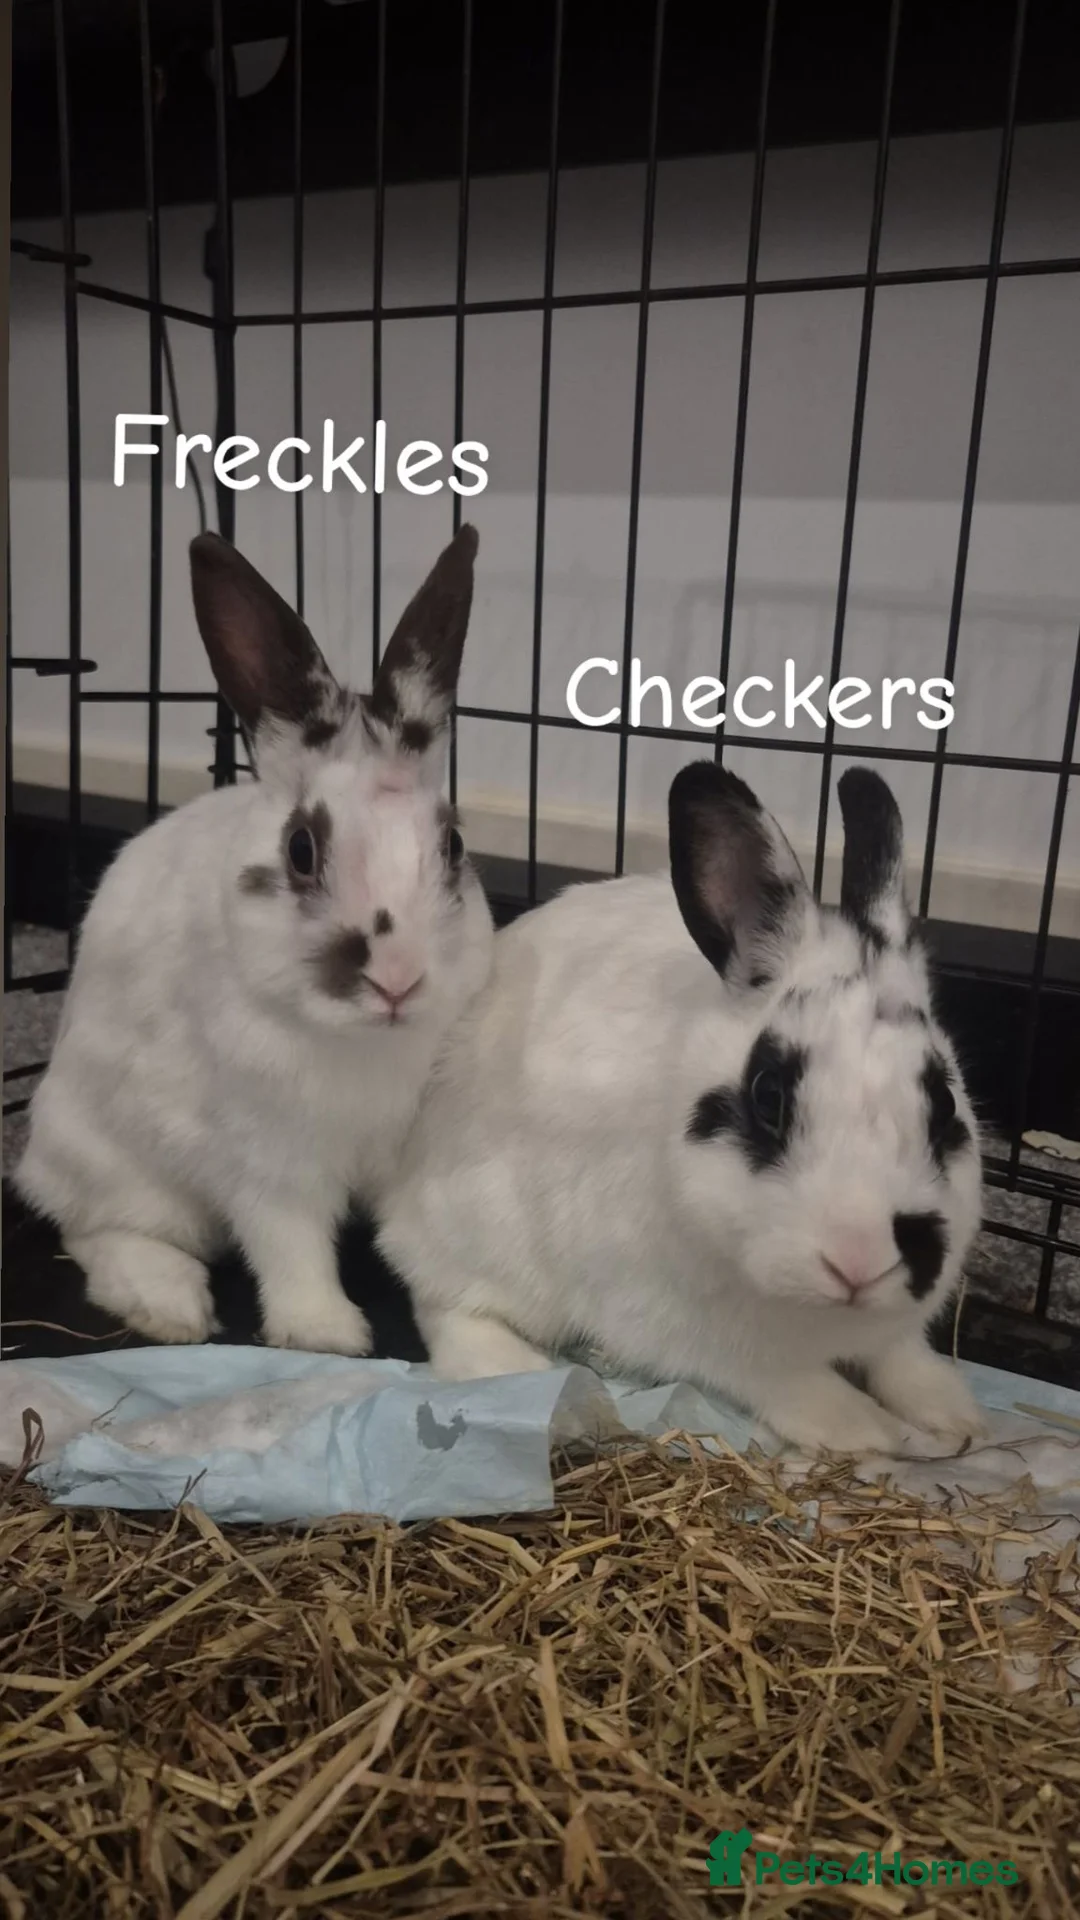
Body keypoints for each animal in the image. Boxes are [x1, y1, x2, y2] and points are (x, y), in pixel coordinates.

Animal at [16, 525, 495, 1356]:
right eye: (301, 849)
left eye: (455, 844)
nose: (398, 979)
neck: (365, 1042)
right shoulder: (269, 1155)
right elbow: (289, 1241)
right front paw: (327, 1334)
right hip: (125, 1168)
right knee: (94, 1228)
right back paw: (169, 1307)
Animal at [375, 759, 987, 1457]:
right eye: (767, 1094)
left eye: (945, 1103)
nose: (857, 1259)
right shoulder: (687, 1327)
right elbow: (785, 1379)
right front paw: (862, 1428)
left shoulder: (892, 1326)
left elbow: (899, 1354)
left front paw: (952, 1412)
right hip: (482, 1232)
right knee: (439, 1299)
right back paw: (517, 1371)